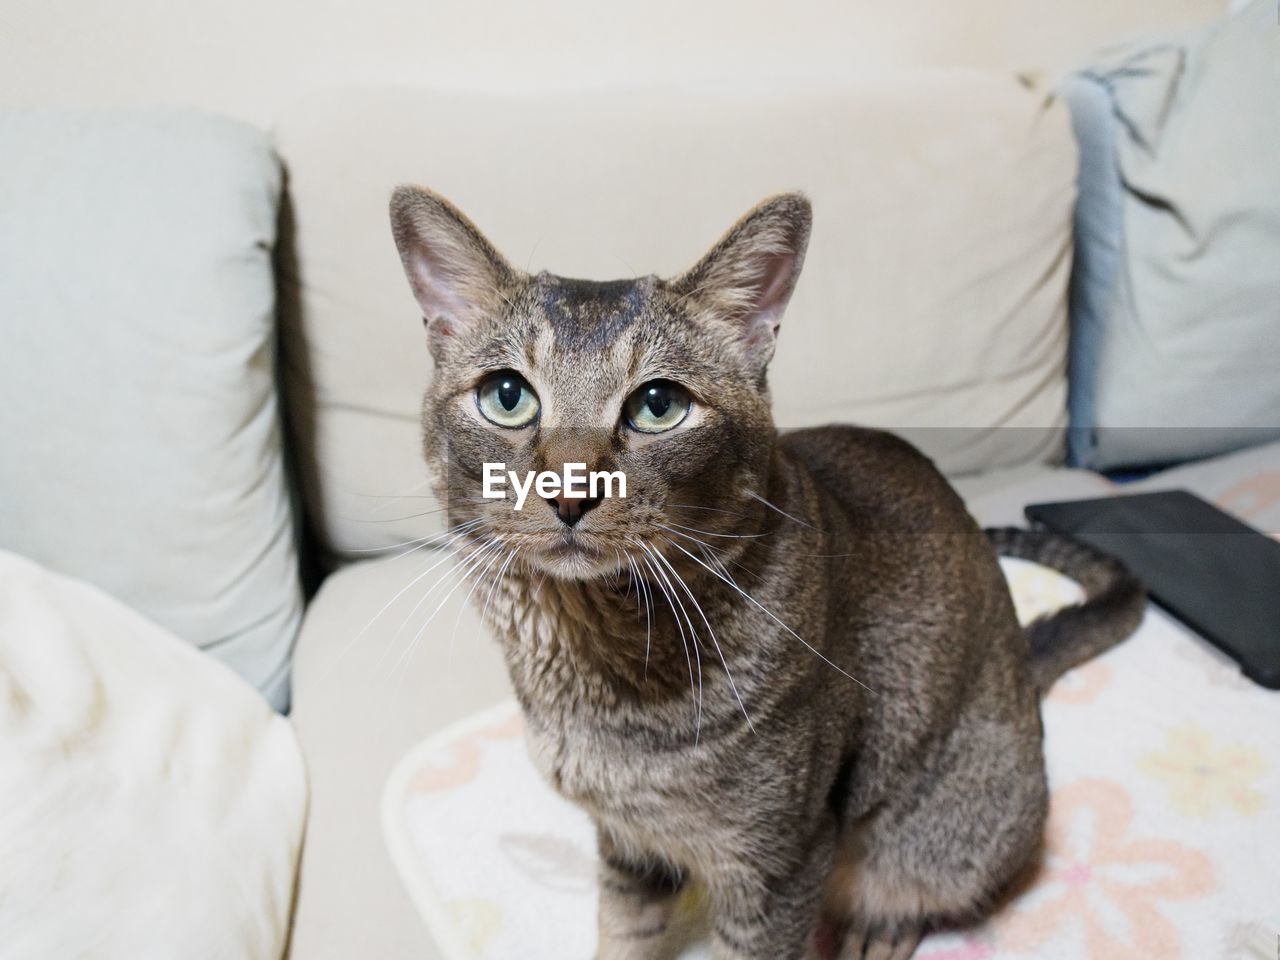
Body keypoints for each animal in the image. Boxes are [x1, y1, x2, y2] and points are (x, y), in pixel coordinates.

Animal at [384, 188, 1146, 960]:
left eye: (658, 405)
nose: (570, 493)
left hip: (955, 822)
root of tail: (1021, 667)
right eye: (507, 395)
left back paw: (880, 928)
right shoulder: (628, 840)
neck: (593, 671)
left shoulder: (779, 861)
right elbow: (622, 934)